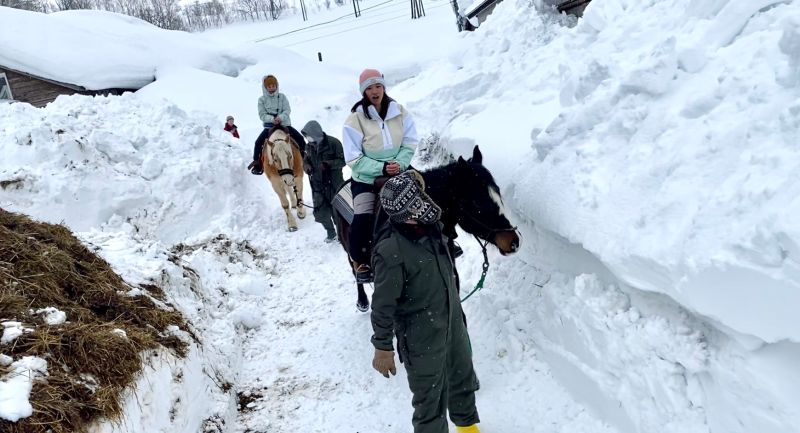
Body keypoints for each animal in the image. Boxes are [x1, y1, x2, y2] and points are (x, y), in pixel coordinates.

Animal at [332, 145, 520, 310]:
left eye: (498, 194)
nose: (514, 242)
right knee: (355, 272)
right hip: (349, 251)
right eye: (477, 203)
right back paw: (362, 301)